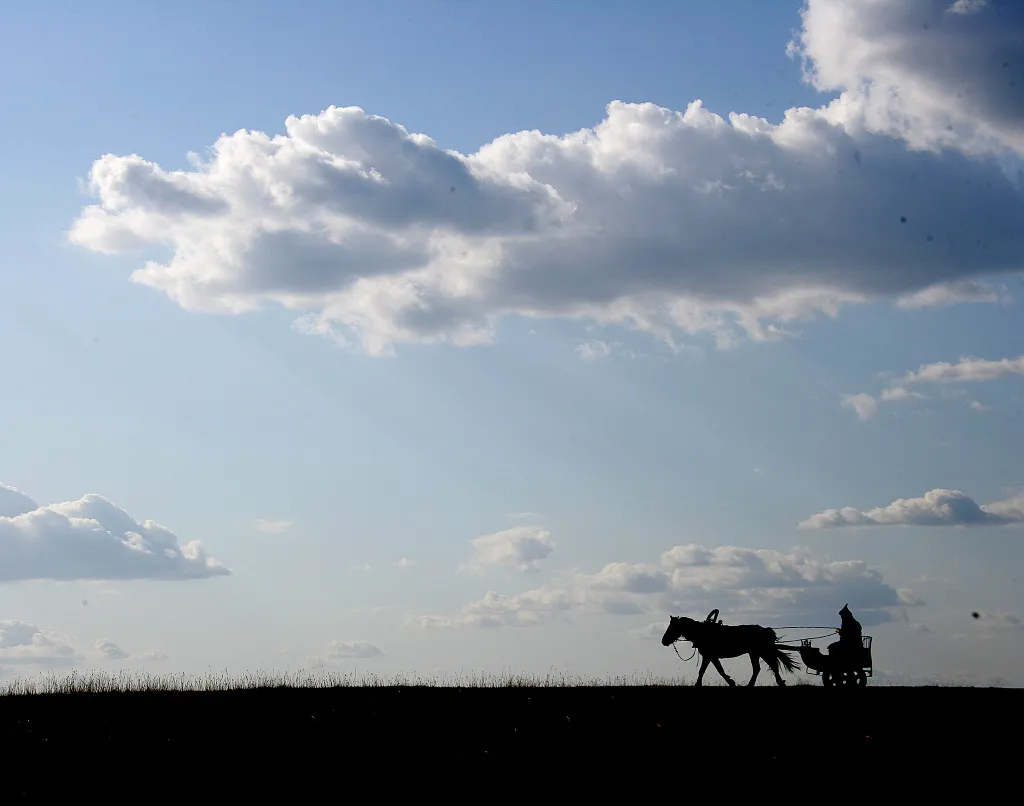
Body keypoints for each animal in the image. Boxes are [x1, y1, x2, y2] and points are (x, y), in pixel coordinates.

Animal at [661, 615, 799, 687]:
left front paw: (730, 682)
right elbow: (707, 670)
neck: (703, 632)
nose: (663, 641)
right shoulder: (709, 656)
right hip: (754, 653)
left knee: (773, 666)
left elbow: (715, 670)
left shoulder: (710, 656)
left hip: (763, 651)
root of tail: (767, 630)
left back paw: (779, 683)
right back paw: (751, 685)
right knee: (757, 668)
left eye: (672, 627)